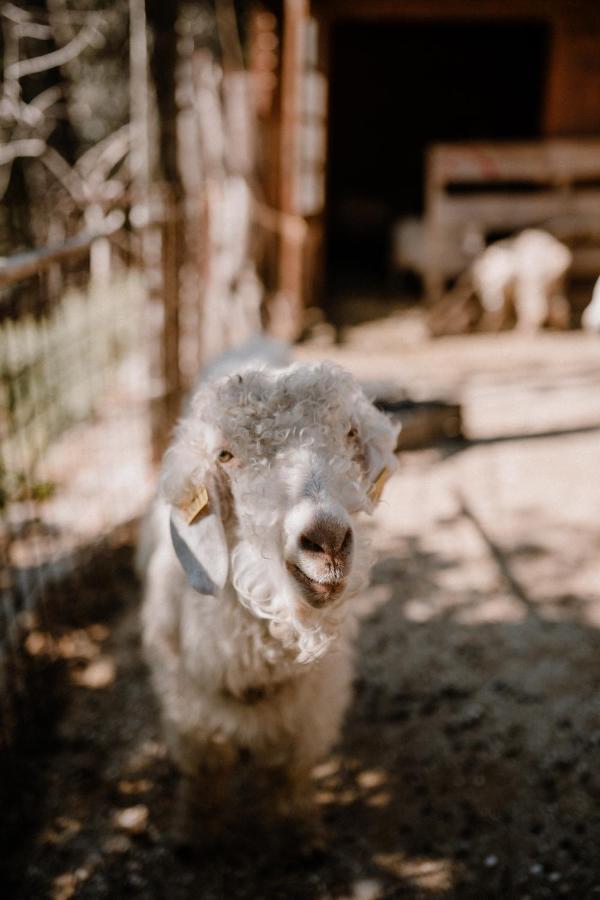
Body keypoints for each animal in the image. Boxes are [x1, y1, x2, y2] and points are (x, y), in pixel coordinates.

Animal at [140, 358, 398, 844]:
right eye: (224, 455)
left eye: (350, 433)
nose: (326, 541)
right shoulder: (189, 709)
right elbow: (205, 771)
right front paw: (194, 832)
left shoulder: (311, 705)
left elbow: (290, 769)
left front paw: (301, 832)